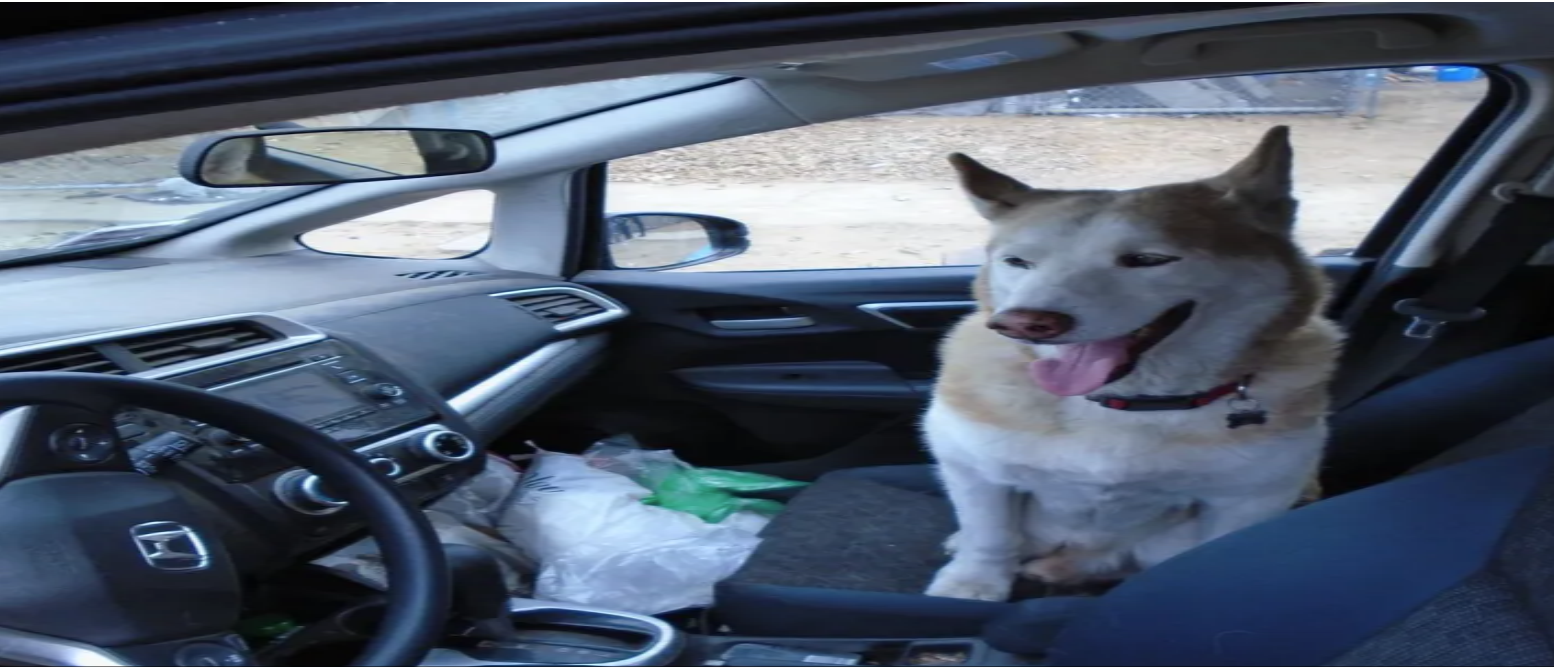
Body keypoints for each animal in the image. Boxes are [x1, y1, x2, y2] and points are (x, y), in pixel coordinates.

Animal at [919, 123, 1336, 597]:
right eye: (1018, 262)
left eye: (1147, 260)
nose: (1023, 322)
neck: (1122, 405)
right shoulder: (971, 466)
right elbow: (988, 534)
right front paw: (972, 582)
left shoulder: (1251, 499)